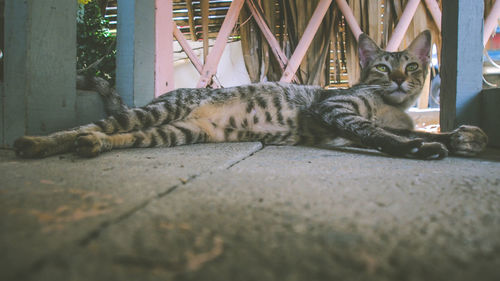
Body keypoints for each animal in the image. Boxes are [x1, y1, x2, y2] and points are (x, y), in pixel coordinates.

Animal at [12, 30, 488, 159]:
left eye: (412, 66)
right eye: (382, 68)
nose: (400, 80)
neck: (391, 107)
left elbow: (422, 130)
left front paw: (460, 136)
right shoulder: (337, 110)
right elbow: (379, 135)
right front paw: (418, 148)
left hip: (176, 133)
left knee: (113, 134)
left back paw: (92, 144)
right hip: (159, 112)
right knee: (93, 123)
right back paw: (36, 143)